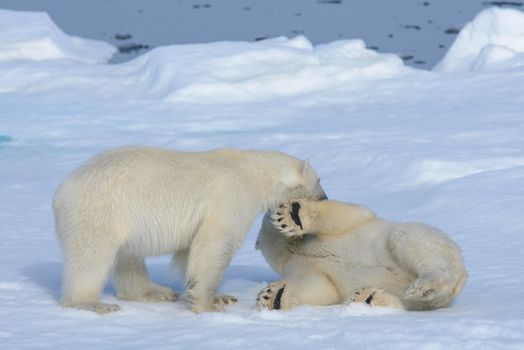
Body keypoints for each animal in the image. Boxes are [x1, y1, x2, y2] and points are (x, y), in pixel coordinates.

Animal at [254, 198, 466, 310]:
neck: (295, 251)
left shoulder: (344, 228)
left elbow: (344, 215)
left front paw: (292, 214)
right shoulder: (308, 269)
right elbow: (321, 289)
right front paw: (272, 296)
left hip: (422, 240)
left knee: (412, 245)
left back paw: (422, 285)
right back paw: (366, 297)